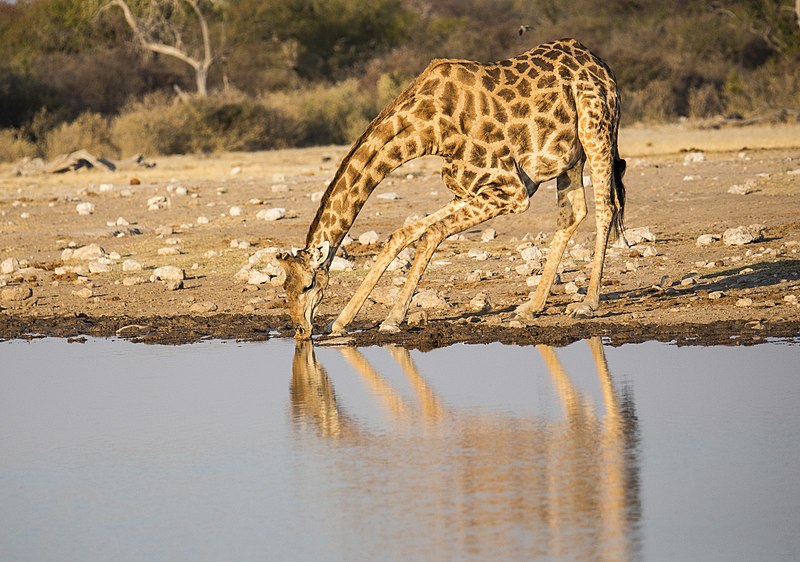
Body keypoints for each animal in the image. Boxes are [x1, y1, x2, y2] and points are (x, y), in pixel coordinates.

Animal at [278, 39, 628, 340]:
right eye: (285, 288)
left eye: (308, 285)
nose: (301, 330)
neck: (426, 130)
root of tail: (601, 64)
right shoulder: (468, 190)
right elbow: (403, 234)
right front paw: (341, 321)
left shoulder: (511, 190)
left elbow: (432, 234)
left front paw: (392, 318)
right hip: (570, 157)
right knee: (572, 214)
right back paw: (530, 308)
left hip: (595, 129)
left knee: (606, 207)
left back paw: (587, 304)